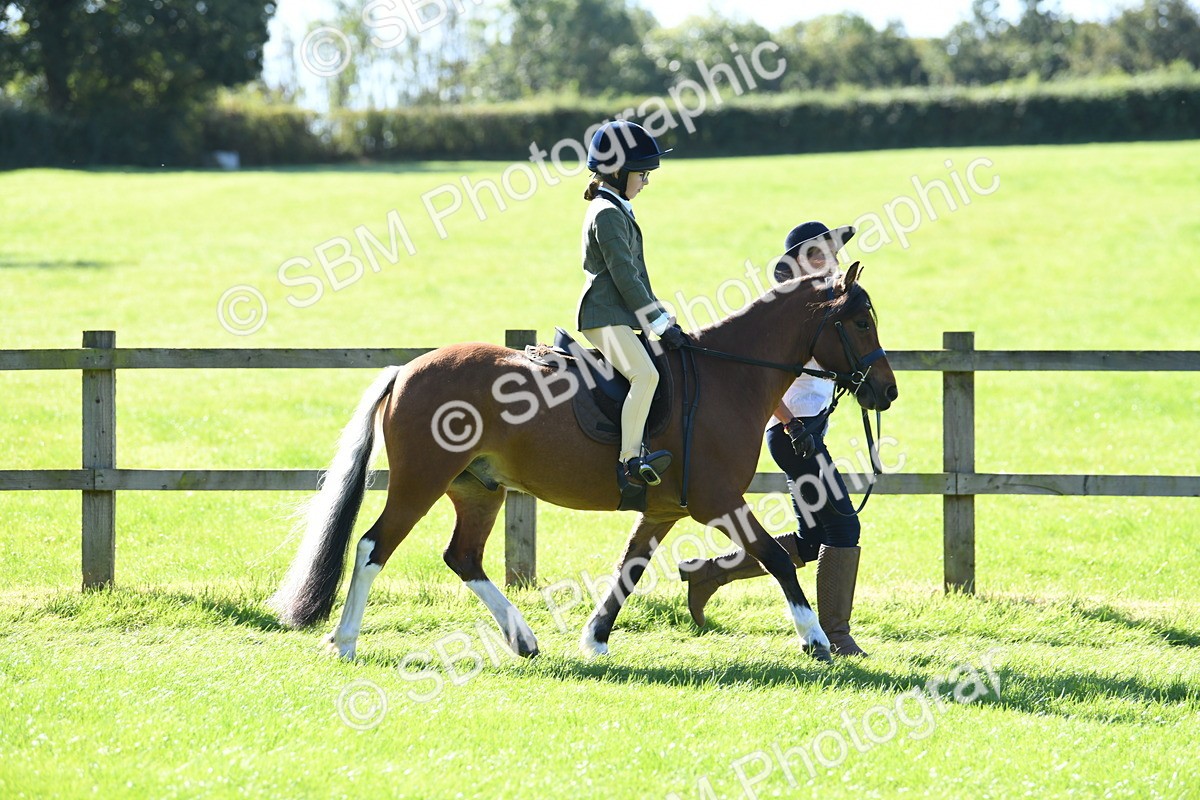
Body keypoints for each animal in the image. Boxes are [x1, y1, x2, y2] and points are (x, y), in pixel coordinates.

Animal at [268, 264, 897, 663]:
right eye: (860, 321)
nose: (886, 393)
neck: (728, 375)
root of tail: (409, 369)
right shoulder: (719, 502)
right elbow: (776, 557)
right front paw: (815, 640)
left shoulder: (664, 510)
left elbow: (629, 570)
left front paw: (594, 638)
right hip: (420, 482)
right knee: (374, 545)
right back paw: (345, 641)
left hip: (478, 489)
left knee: (463, 557)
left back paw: (523, 640)